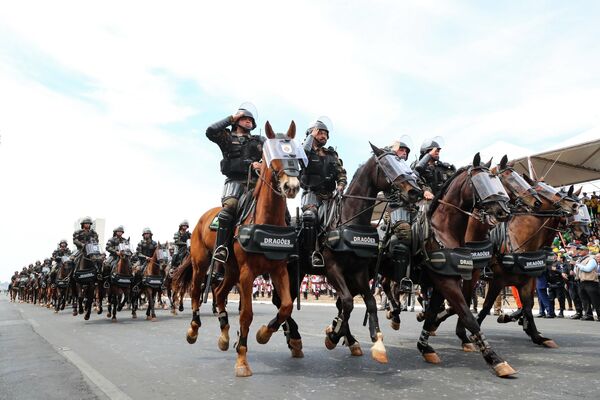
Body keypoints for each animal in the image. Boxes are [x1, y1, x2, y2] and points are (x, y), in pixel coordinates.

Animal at [172, 120, 300, 376]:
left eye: (296, 154)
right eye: (273, 155)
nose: (291, 186)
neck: (266, 220)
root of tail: (202, 219)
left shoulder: (278, 269)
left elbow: (286, 307)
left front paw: (263, 334)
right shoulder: (247, 273)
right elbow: (246, 314)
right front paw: (242, 360)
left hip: (230, 270)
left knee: (220, 293)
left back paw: (223, 334)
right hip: (202, 264)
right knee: (196, 293)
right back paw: (193, 329)